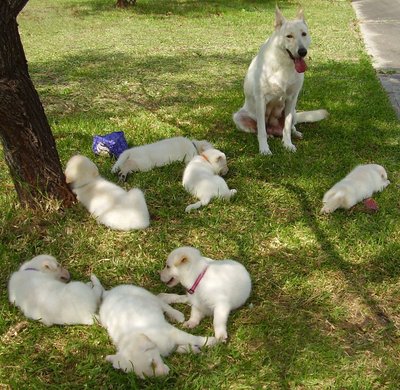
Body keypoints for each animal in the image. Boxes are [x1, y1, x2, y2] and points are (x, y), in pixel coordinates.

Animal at [234, 6, 328, 155]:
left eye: (304, 34)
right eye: (289, 36)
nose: (303, 52)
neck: (284, 65)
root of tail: (273, 129)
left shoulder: (292, 98)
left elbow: (287, 126)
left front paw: (288, 144)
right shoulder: (261, 100)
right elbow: (261, 131)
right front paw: (264, 149)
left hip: (294, 112)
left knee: (291, 126)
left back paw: (295, 133)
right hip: (239, 117)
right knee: (260, 130)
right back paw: (270, 135)